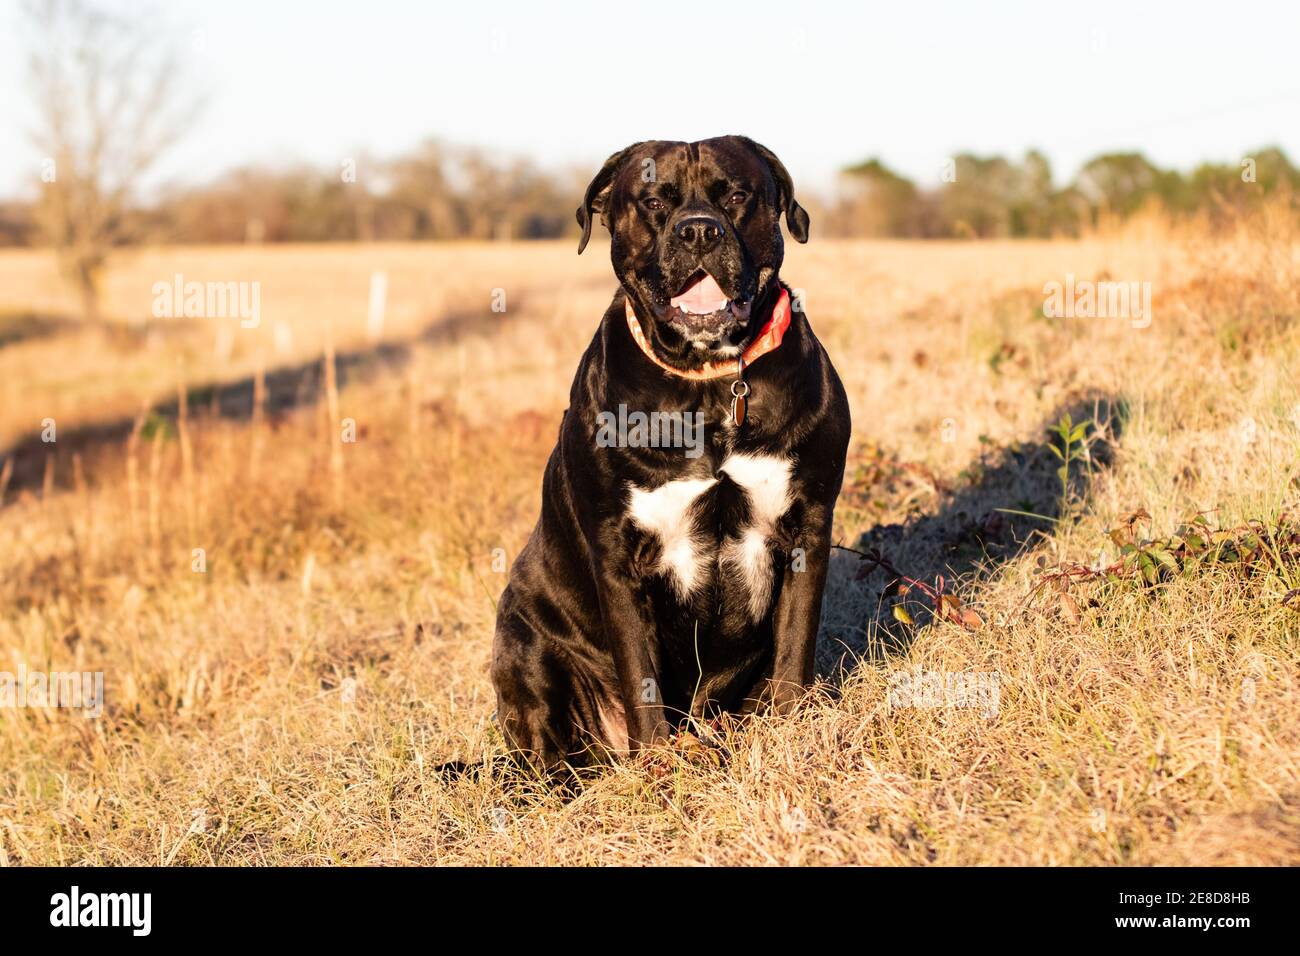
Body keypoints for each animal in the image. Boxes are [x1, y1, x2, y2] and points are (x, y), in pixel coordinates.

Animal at [491, 136, 847, 770]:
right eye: (654, 201)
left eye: (736, 196)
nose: (699, 230)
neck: (708, 383)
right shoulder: (618, 555)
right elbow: (642, 676)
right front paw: (659, 762)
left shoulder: (807, 525)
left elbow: (794, 651)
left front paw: (793, 731)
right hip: (520, 644)